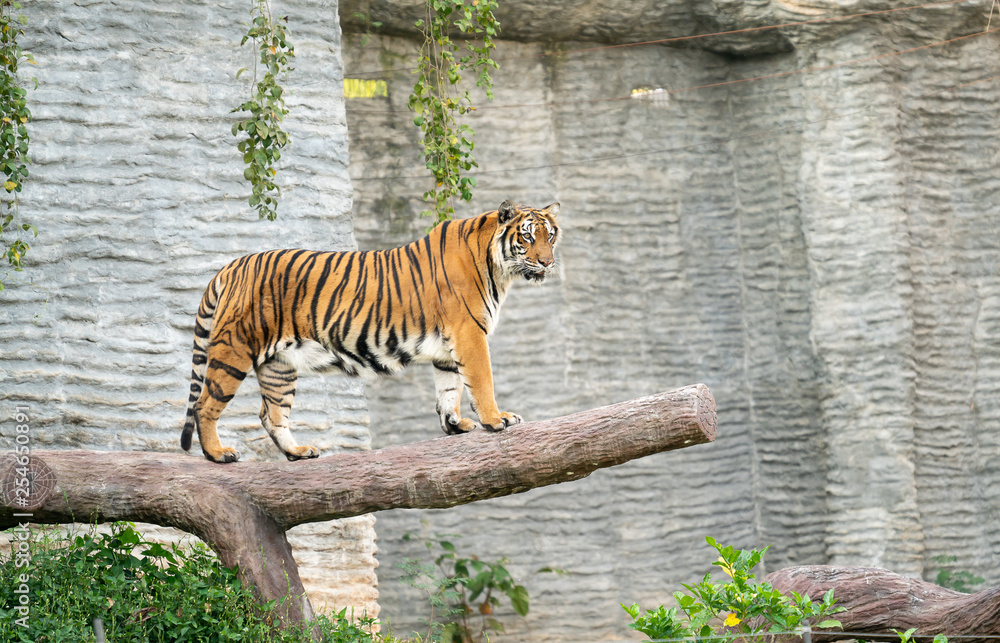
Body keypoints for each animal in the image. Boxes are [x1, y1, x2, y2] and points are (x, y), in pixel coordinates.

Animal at [183, 200, 560, 462]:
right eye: (527, 236)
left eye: (550, 236)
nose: (547, 262)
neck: (498, 269)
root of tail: (231, 266)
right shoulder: (469, 334)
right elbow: (481, 380)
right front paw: (496, 419)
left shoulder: (449, 346)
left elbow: (448, 388)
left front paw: (455, 425)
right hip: (235, 349)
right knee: (205, 405)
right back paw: (218, 454)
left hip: (279, 364)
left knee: (271, 414)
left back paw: (298, 452)